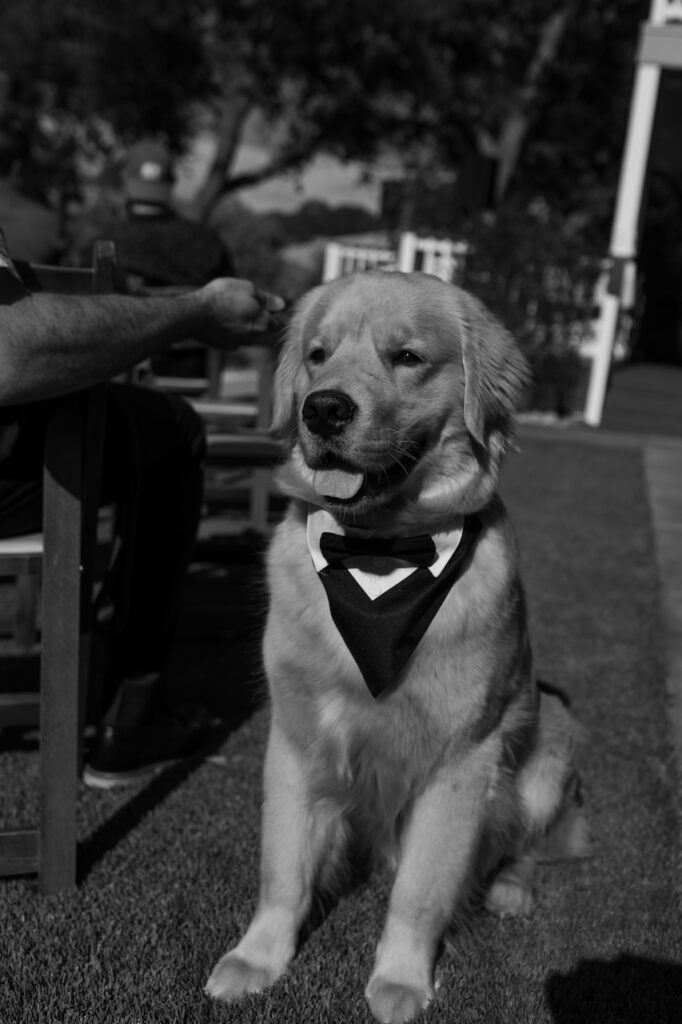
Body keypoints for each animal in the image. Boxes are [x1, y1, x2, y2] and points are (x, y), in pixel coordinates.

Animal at [204, 272, 585, 1024]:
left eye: (407, 357)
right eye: (317, 355)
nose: (323, 409)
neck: (378, 553)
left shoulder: (463, 759)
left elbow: (422, 888)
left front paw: (403, 979)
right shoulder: (296, 737)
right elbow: (282, 869)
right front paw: (259, 959)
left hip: (552, 737)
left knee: (523, 846)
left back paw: (511, 888)